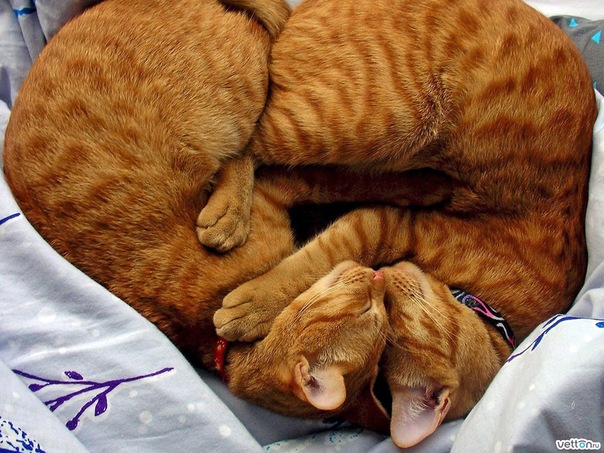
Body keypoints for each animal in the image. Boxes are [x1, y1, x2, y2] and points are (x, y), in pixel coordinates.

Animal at [2, 0, 455, 433]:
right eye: (370, 313)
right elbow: (339, 202)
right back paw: (227, 216)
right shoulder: (280, 191)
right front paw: (424, 187)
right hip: (232, 102)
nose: (376, 277)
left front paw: (425, 185)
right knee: (249, 144)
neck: (210, 334)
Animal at [211, 0, 598, 446]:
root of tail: (300, 10)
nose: (385, 276)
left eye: (390, 325)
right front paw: (257, 303)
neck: (487, 304)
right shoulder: (389, 224)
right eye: (397, 313)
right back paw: (228, 211)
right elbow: (321, 256)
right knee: (245, 142)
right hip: (371, 120)